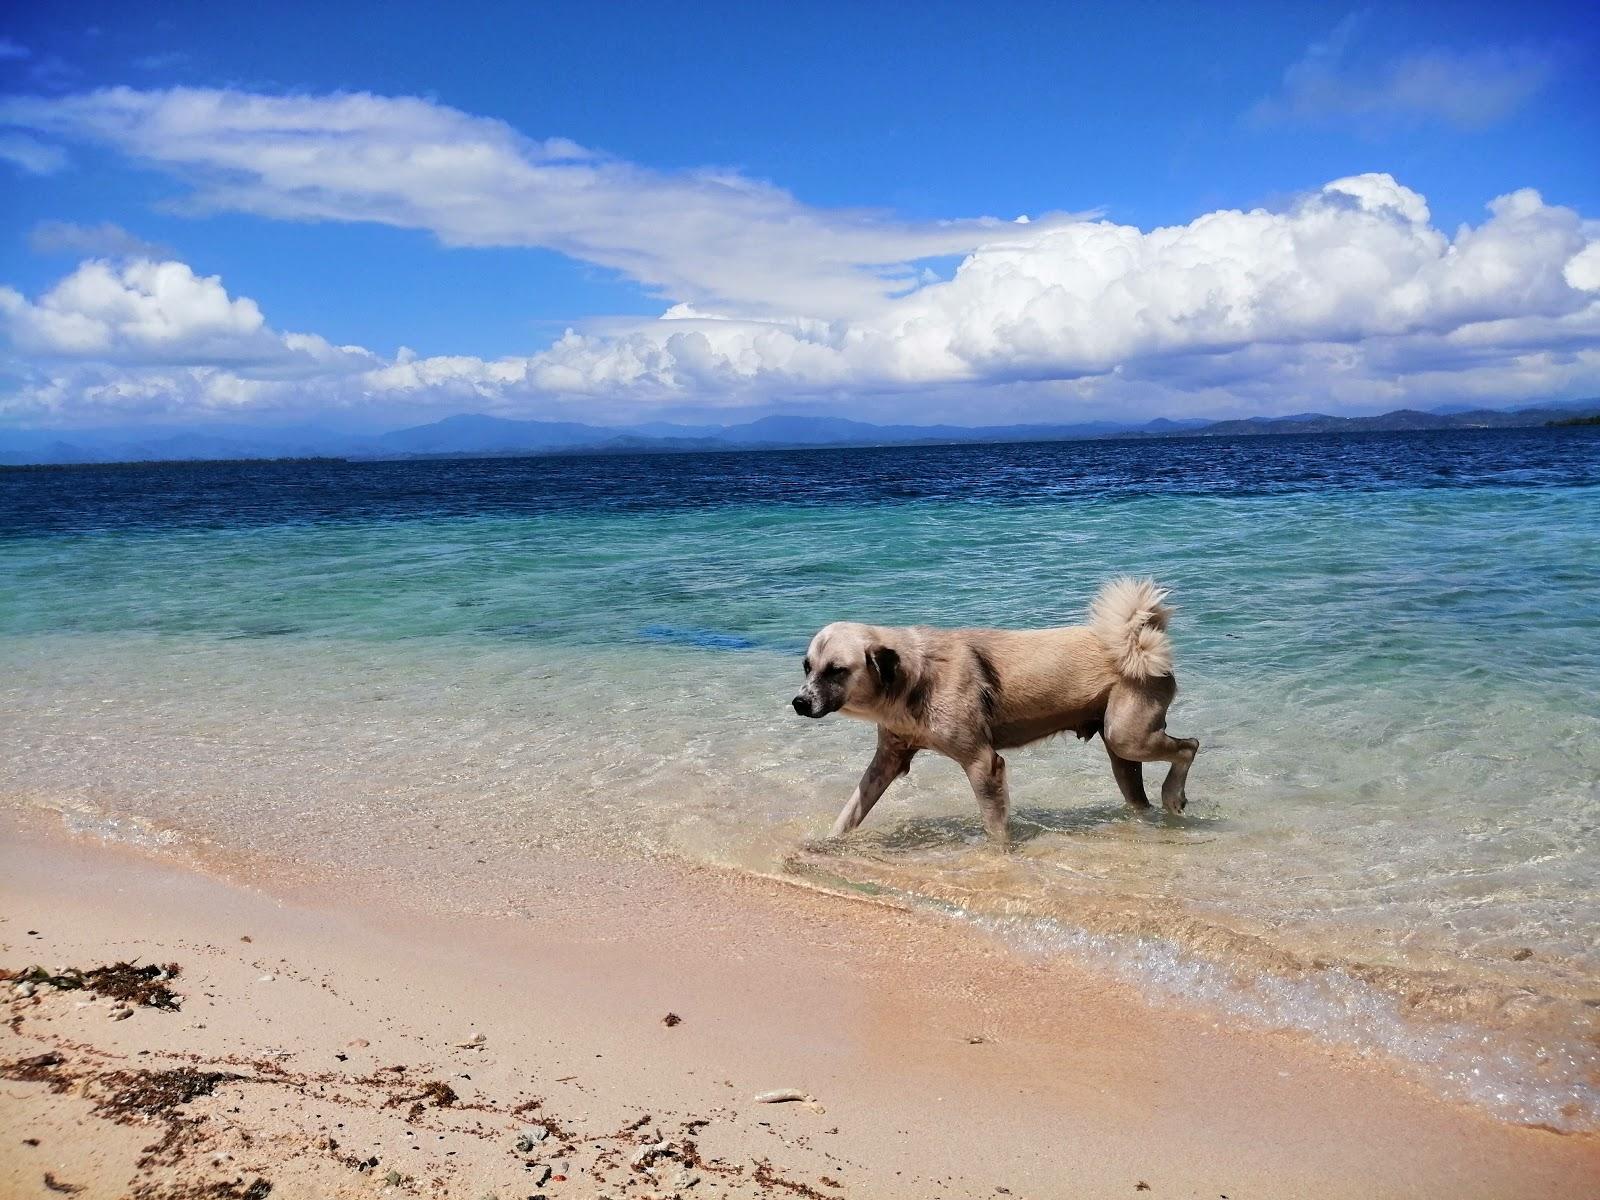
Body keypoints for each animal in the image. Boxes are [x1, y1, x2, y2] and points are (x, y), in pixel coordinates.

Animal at [793, 579, 1196, 844]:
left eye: (837, 670)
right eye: (807, 666)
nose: (799, 703)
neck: (915, 676)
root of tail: (1141, 641)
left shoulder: (983, 763)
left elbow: (995, 826)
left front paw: (1000, 856)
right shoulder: (887, 760)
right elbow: (851, 810)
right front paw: (824, 845)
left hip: (1129, 737)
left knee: (1189, 746)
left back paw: (1174, 795)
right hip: (1121, 752)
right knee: (1141, 795)